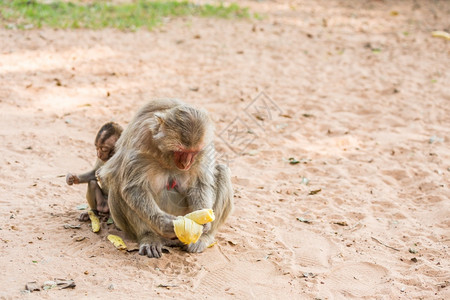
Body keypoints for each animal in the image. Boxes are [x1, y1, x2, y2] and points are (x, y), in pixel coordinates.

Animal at [97, 99, 232, 258]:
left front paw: (205, 223)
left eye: (193, 152)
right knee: (118, 181)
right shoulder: (141, 137)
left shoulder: (205, 146)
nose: (186, 163)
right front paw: (163, 223)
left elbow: (200, 183)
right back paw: (149, 237)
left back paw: (203, 237)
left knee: (222, 171)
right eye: (180, 151)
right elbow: (133, 187)